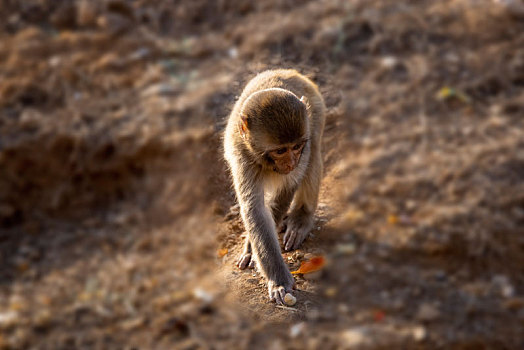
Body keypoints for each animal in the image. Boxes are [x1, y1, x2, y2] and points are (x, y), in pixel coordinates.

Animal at [223, 69, 326, 304]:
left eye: (296, 147)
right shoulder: (242, 157)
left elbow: (287, 188)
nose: (291, 163)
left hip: (316, 113)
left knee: (314, 153)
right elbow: (255, 209)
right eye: (280, 151)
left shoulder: (304, 146)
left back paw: (300, 219)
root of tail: (287, 72)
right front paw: (277, 278)